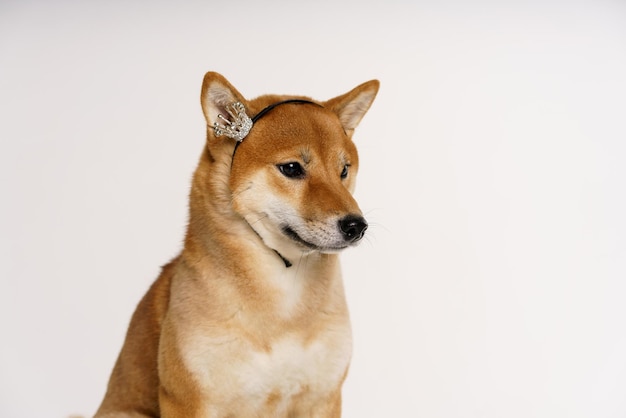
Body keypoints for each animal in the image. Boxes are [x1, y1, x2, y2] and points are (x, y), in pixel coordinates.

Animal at [92, 70, 376, 416]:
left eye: (344, 170)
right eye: (292, 168)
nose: (356, 225)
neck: (283, 307)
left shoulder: (323, 397)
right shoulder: (189, 401)